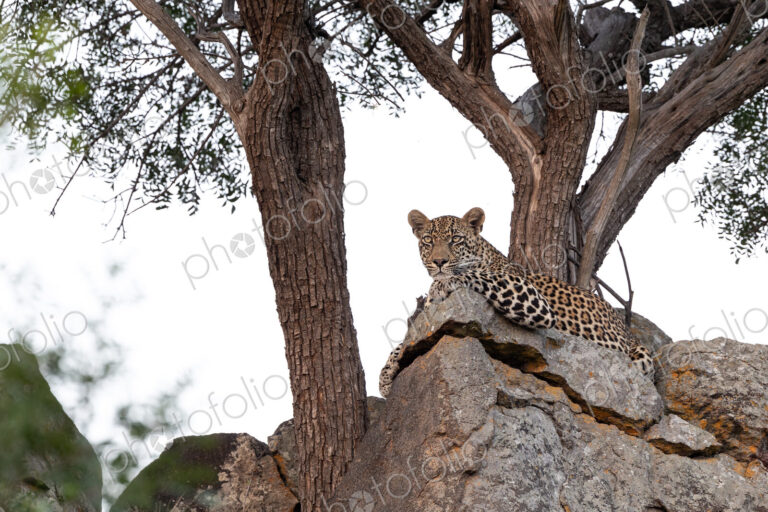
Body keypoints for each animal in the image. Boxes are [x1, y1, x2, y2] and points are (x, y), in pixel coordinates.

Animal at [379, 207, 655, 397]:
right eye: (428, 241)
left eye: (455, 239)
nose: (439, 262)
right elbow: (404, 343)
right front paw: (385, 378)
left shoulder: (529, 296)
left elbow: (480, 276)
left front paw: (442, 283)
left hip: (641, 357)